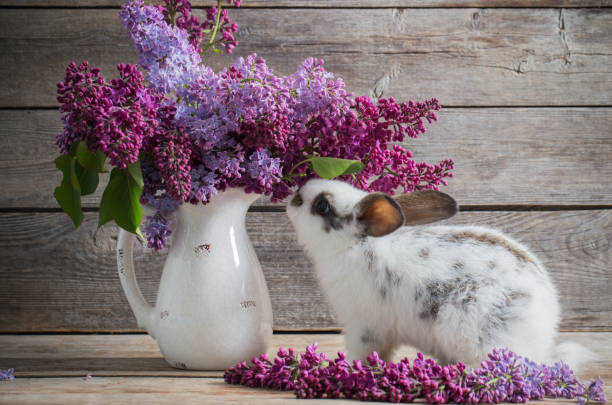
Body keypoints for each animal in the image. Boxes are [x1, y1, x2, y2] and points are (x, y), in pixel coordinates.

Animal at [286, 178, 592, 368]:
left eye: (322, 205)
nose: (293, 196)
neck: (355, 245)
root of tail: (544, 336)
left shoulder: (364, 326)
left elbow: (361, 352)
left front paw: (348, 368)